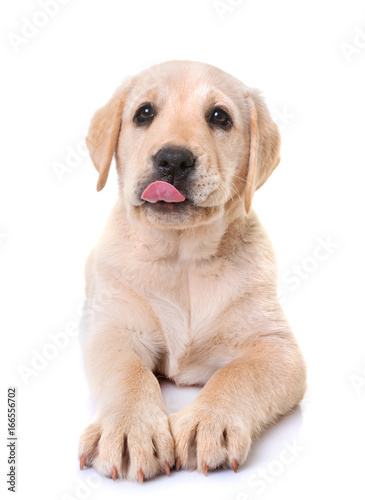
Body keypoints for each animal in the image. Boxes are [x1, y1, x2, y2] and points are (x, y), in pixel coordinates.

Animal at [78, 60, 306, 482]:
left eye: (219, 117)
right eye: (144, 112)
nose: (173, 159)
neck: (182, 258)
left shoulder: (276, 348)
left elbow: (237, 374)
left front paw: (209, 421)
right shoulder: (116, 331)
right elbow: (127, 373)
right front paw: (129, 427)